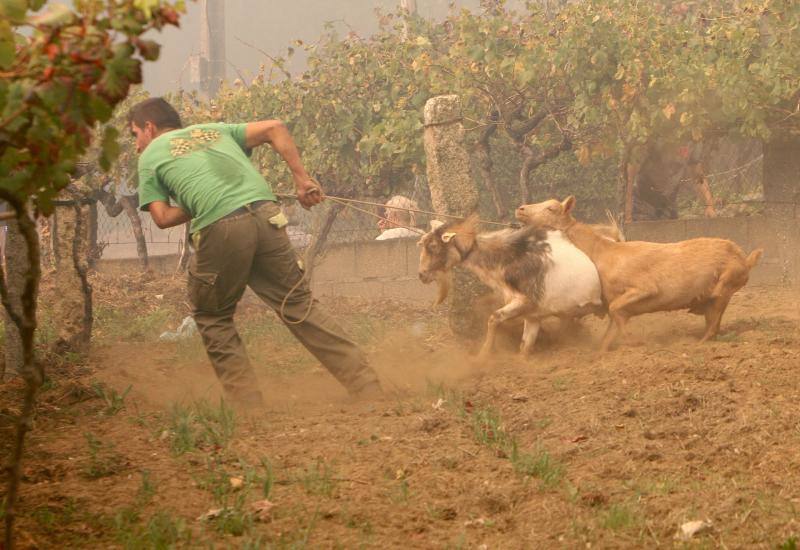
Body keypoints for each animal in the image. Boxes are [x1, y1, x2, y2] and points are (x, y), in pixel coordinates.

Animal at [418, 216, 600, 362]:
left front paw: (483, 356)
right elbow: (524, 347)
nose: (421, 275)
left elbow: (494, 318)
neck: (509, 257)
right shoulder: (533, 315)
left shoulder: (525, 302)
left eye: (433, 245)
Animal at [516, 198, 764, 354]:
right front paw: (604, 351)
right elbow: (611, 328)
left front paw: (636, 343)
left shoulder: (644, 288)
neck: (601, 254)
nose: (521, 209)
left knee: (713, 326)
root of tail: (745, 259)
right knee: (713, 324)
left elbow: (617, 311)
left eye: (551, 208)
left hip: (724, 288)